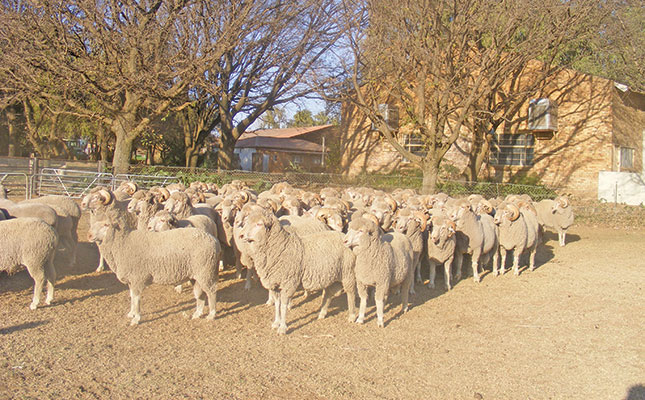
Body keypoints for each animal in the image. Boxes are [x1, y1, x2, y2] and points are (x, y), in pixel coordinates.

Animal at [88, 217, 222, 325]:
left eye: (106, 225)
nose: (89, 235)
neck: (123, 243)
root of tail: (214, 240)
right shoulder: (131, 280)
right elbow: (131, 297)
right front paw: (131, 313)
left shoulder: (137, 278)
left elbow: (136, 299)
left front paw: (136, 318)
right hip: (197, 274)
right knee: (201, 293)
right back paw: (197, 313)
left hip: (205, 271)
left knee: (211, 292)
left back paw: (211, 314)